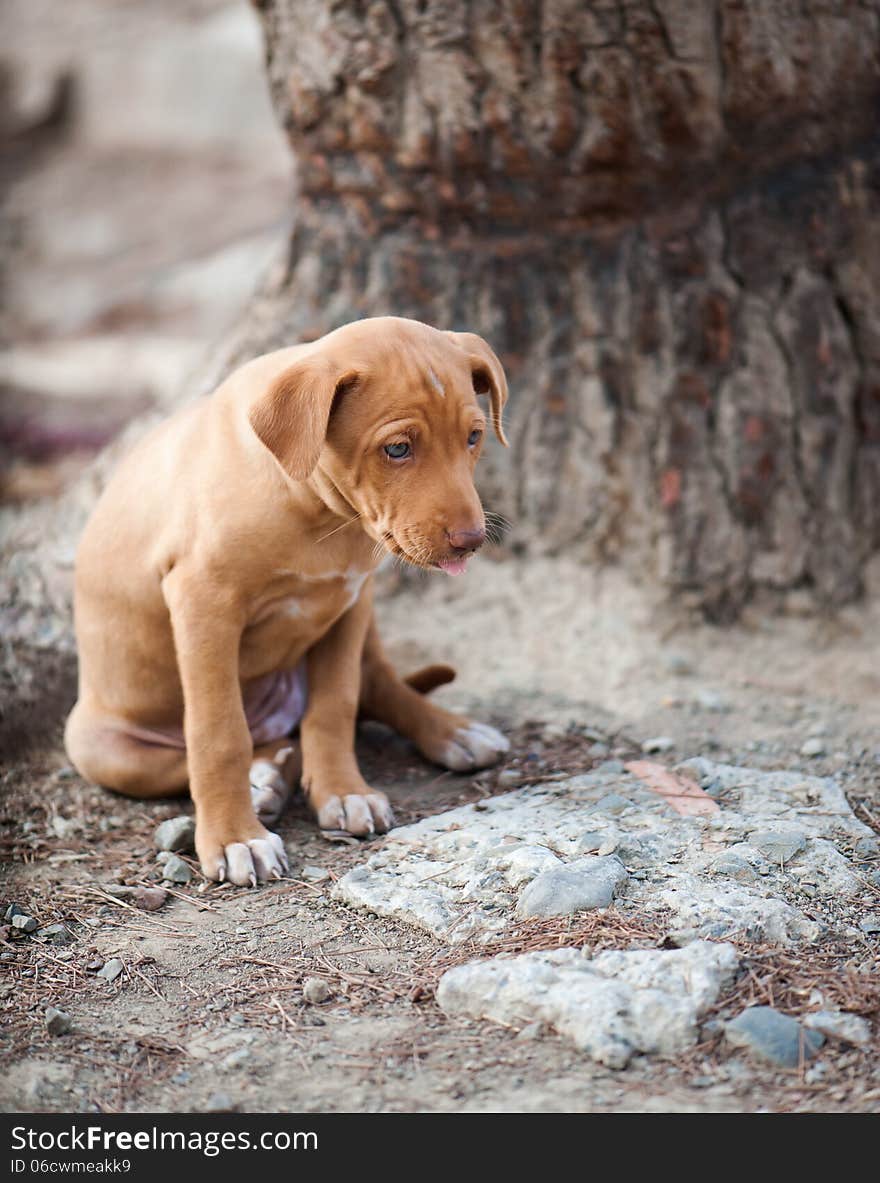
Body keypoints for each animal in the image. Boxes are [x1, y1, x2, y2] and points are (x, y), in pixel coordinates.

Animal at [65, 319, 513, 884]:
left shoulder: (350, 602)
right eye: (397, 449)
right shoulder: (204, 604)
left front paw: (344, 793)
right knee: (221, 749)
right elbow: (218, 733)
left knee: (375, 686)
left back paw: (454, 733)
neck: (315, 511)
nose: (472, 541)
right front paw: (237, 837)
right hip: (100, 748)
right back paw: (264, 777)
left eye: (474, 437)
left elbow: (336, 705)